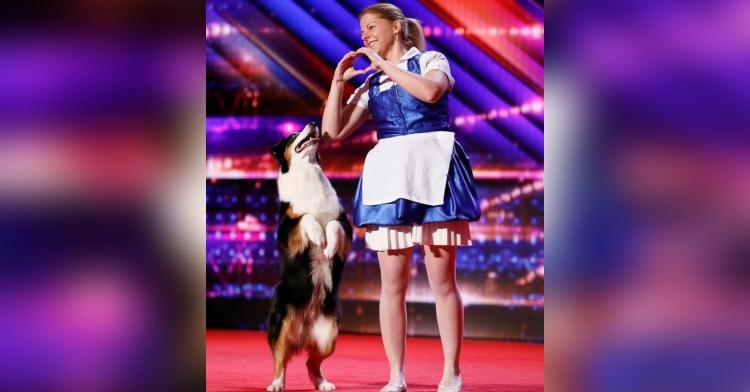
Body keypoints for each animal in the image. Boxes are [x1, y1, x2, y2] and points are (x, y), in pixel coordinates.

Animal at [268, 122, 356, 392]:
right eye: (293, 135)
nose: (314, 124)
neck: (308, 174)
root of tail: (304, 329)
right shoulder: (286, 233)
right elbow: (306, 217)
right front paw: (317, 236)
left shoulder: (346, 227)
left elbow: (334, 226)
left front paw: (328, 247)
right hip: (282, 321)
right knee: (280, 360)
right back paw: (276, 384)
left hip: (330, 335)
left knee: (311, 362)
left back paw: (322, 383)